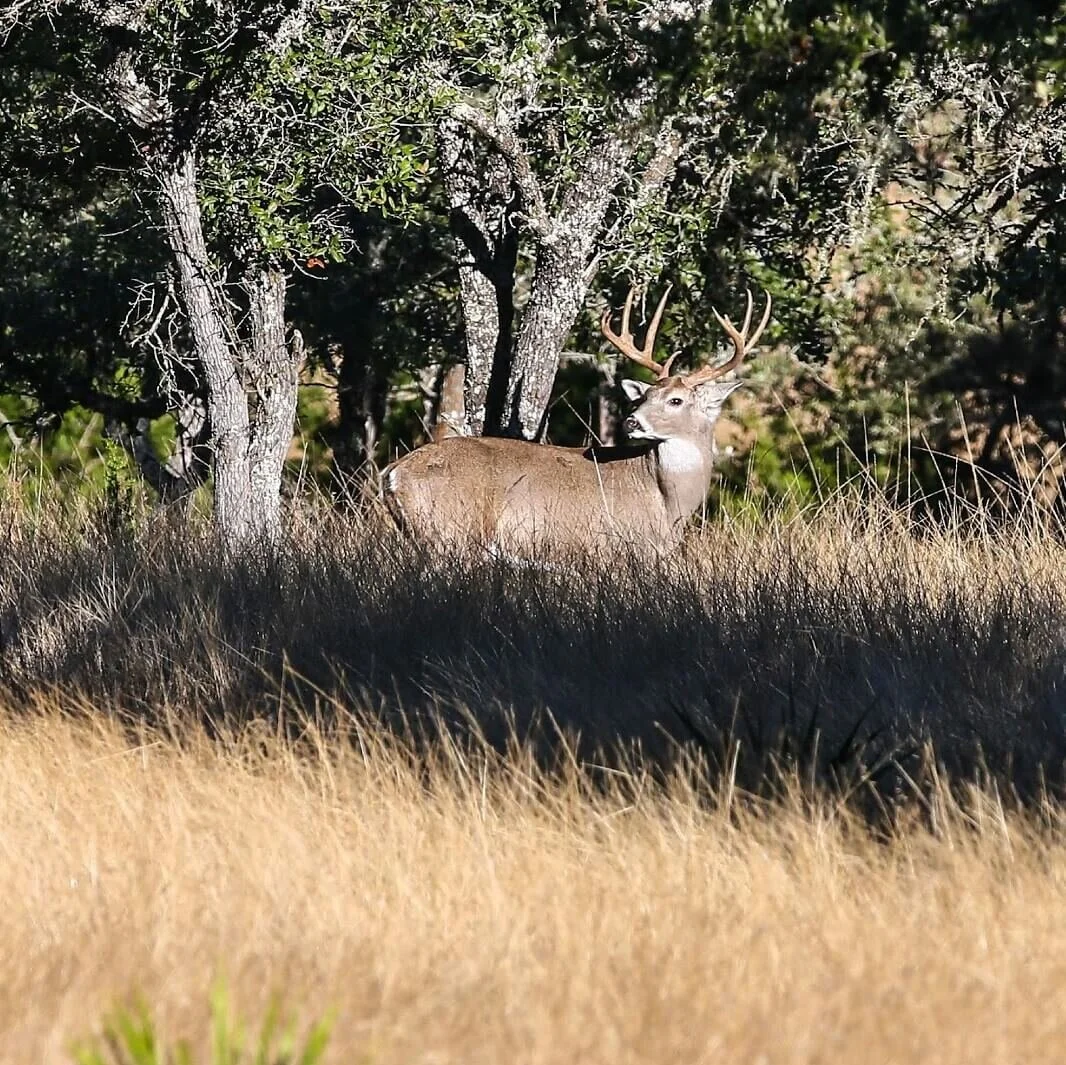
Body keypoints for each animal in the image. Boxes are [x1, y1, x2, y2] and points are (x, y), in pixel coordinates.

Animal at [382, 284, 772, 557]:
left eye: (675, 400)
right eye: (644, 397)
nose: (631, 421)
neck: (664, 501)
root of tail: (393, 473)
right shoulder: (616, 546)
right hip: (451, 532)